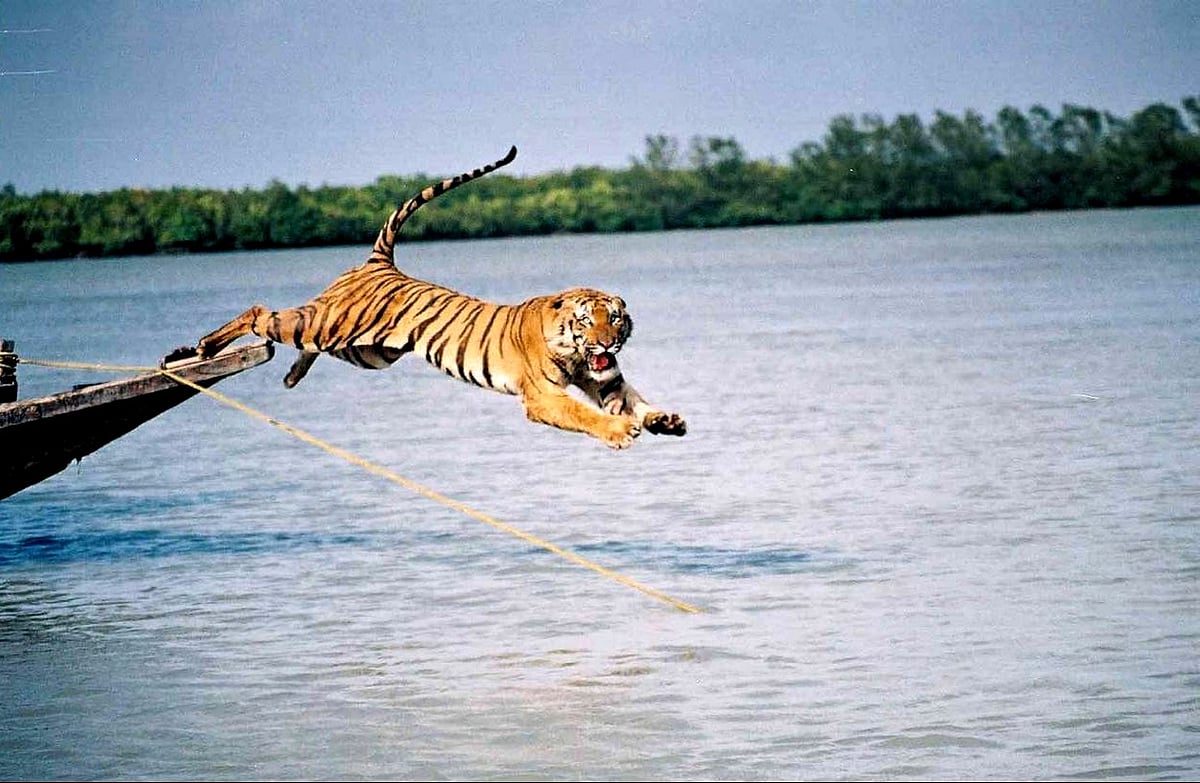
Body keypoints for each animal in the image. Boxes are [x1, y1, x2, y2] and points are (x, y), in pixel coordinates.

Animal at [190, 146, 686, 449]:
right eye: (587, 321)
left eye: (615, 319)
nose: (608, 342)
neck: (574, 352)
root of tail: (380, 262)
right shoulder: (543, 397)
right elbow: (586, 415)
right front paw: (619, 431)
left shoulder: (608, 381)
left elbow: (636, 398)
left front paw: (663, 420)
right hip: (324, 325)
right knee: (261, 312)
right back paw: (203, 346)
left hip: (364, 352)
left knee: (302, 343)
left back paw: (291, 377)